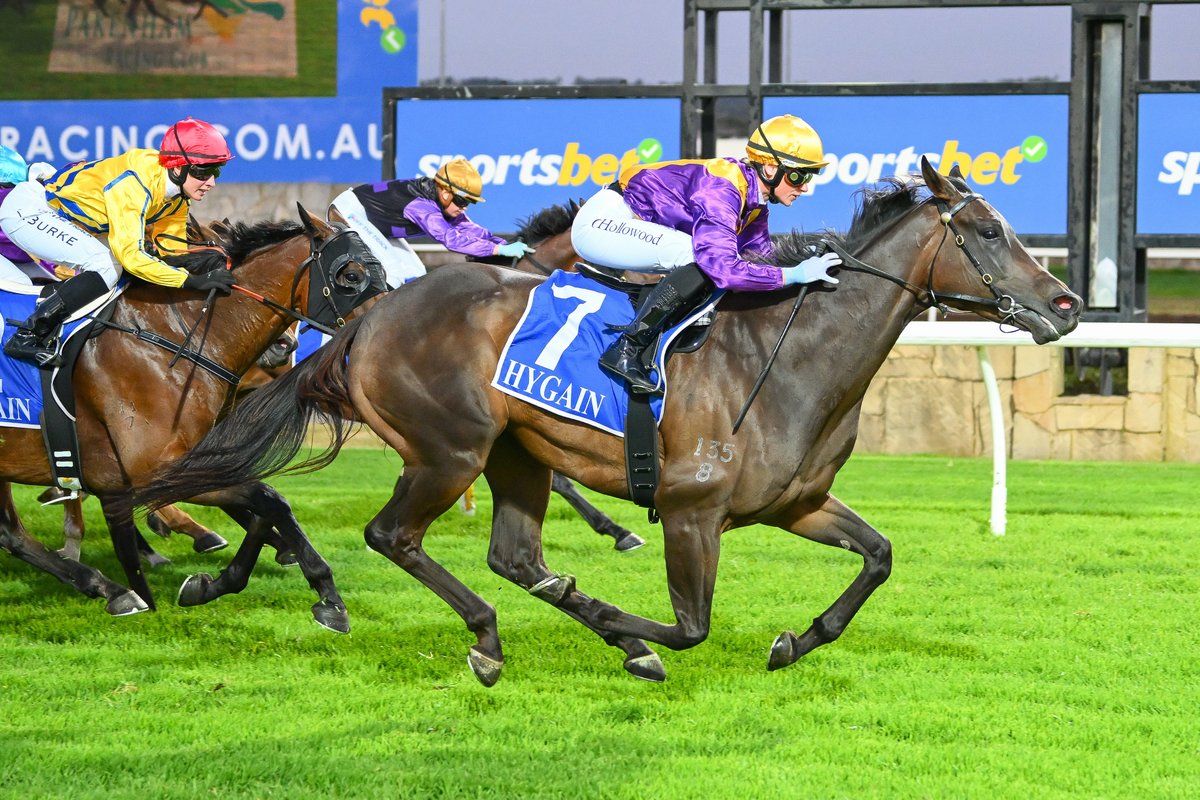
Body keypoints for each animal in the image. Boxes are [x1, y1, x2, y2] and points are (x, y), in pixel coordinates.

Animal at [0, 205, 384, 618]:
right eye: (351, 276)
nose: (285, 345)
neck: (173, 337)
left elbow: (263, 504)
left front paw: (219, 578)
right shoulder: (151, 469)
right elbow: (269, 499)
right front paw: (325, 590)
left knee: (11, 533)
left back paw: (109, 588)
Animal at [136, 159, 1084, 686]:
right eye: (987, 230)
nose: (1067, 304)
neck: (788, 354)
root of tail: (367, 320)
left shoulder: (797, 504)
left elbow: (880, 557)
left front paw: (795, 640)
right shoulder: (694, 512)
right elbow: (691, 628)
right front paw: (636, 635)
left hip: (515, 452)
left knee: (515, 557)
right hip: (449, 450)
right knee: (393, 537)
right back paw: (490, 636)